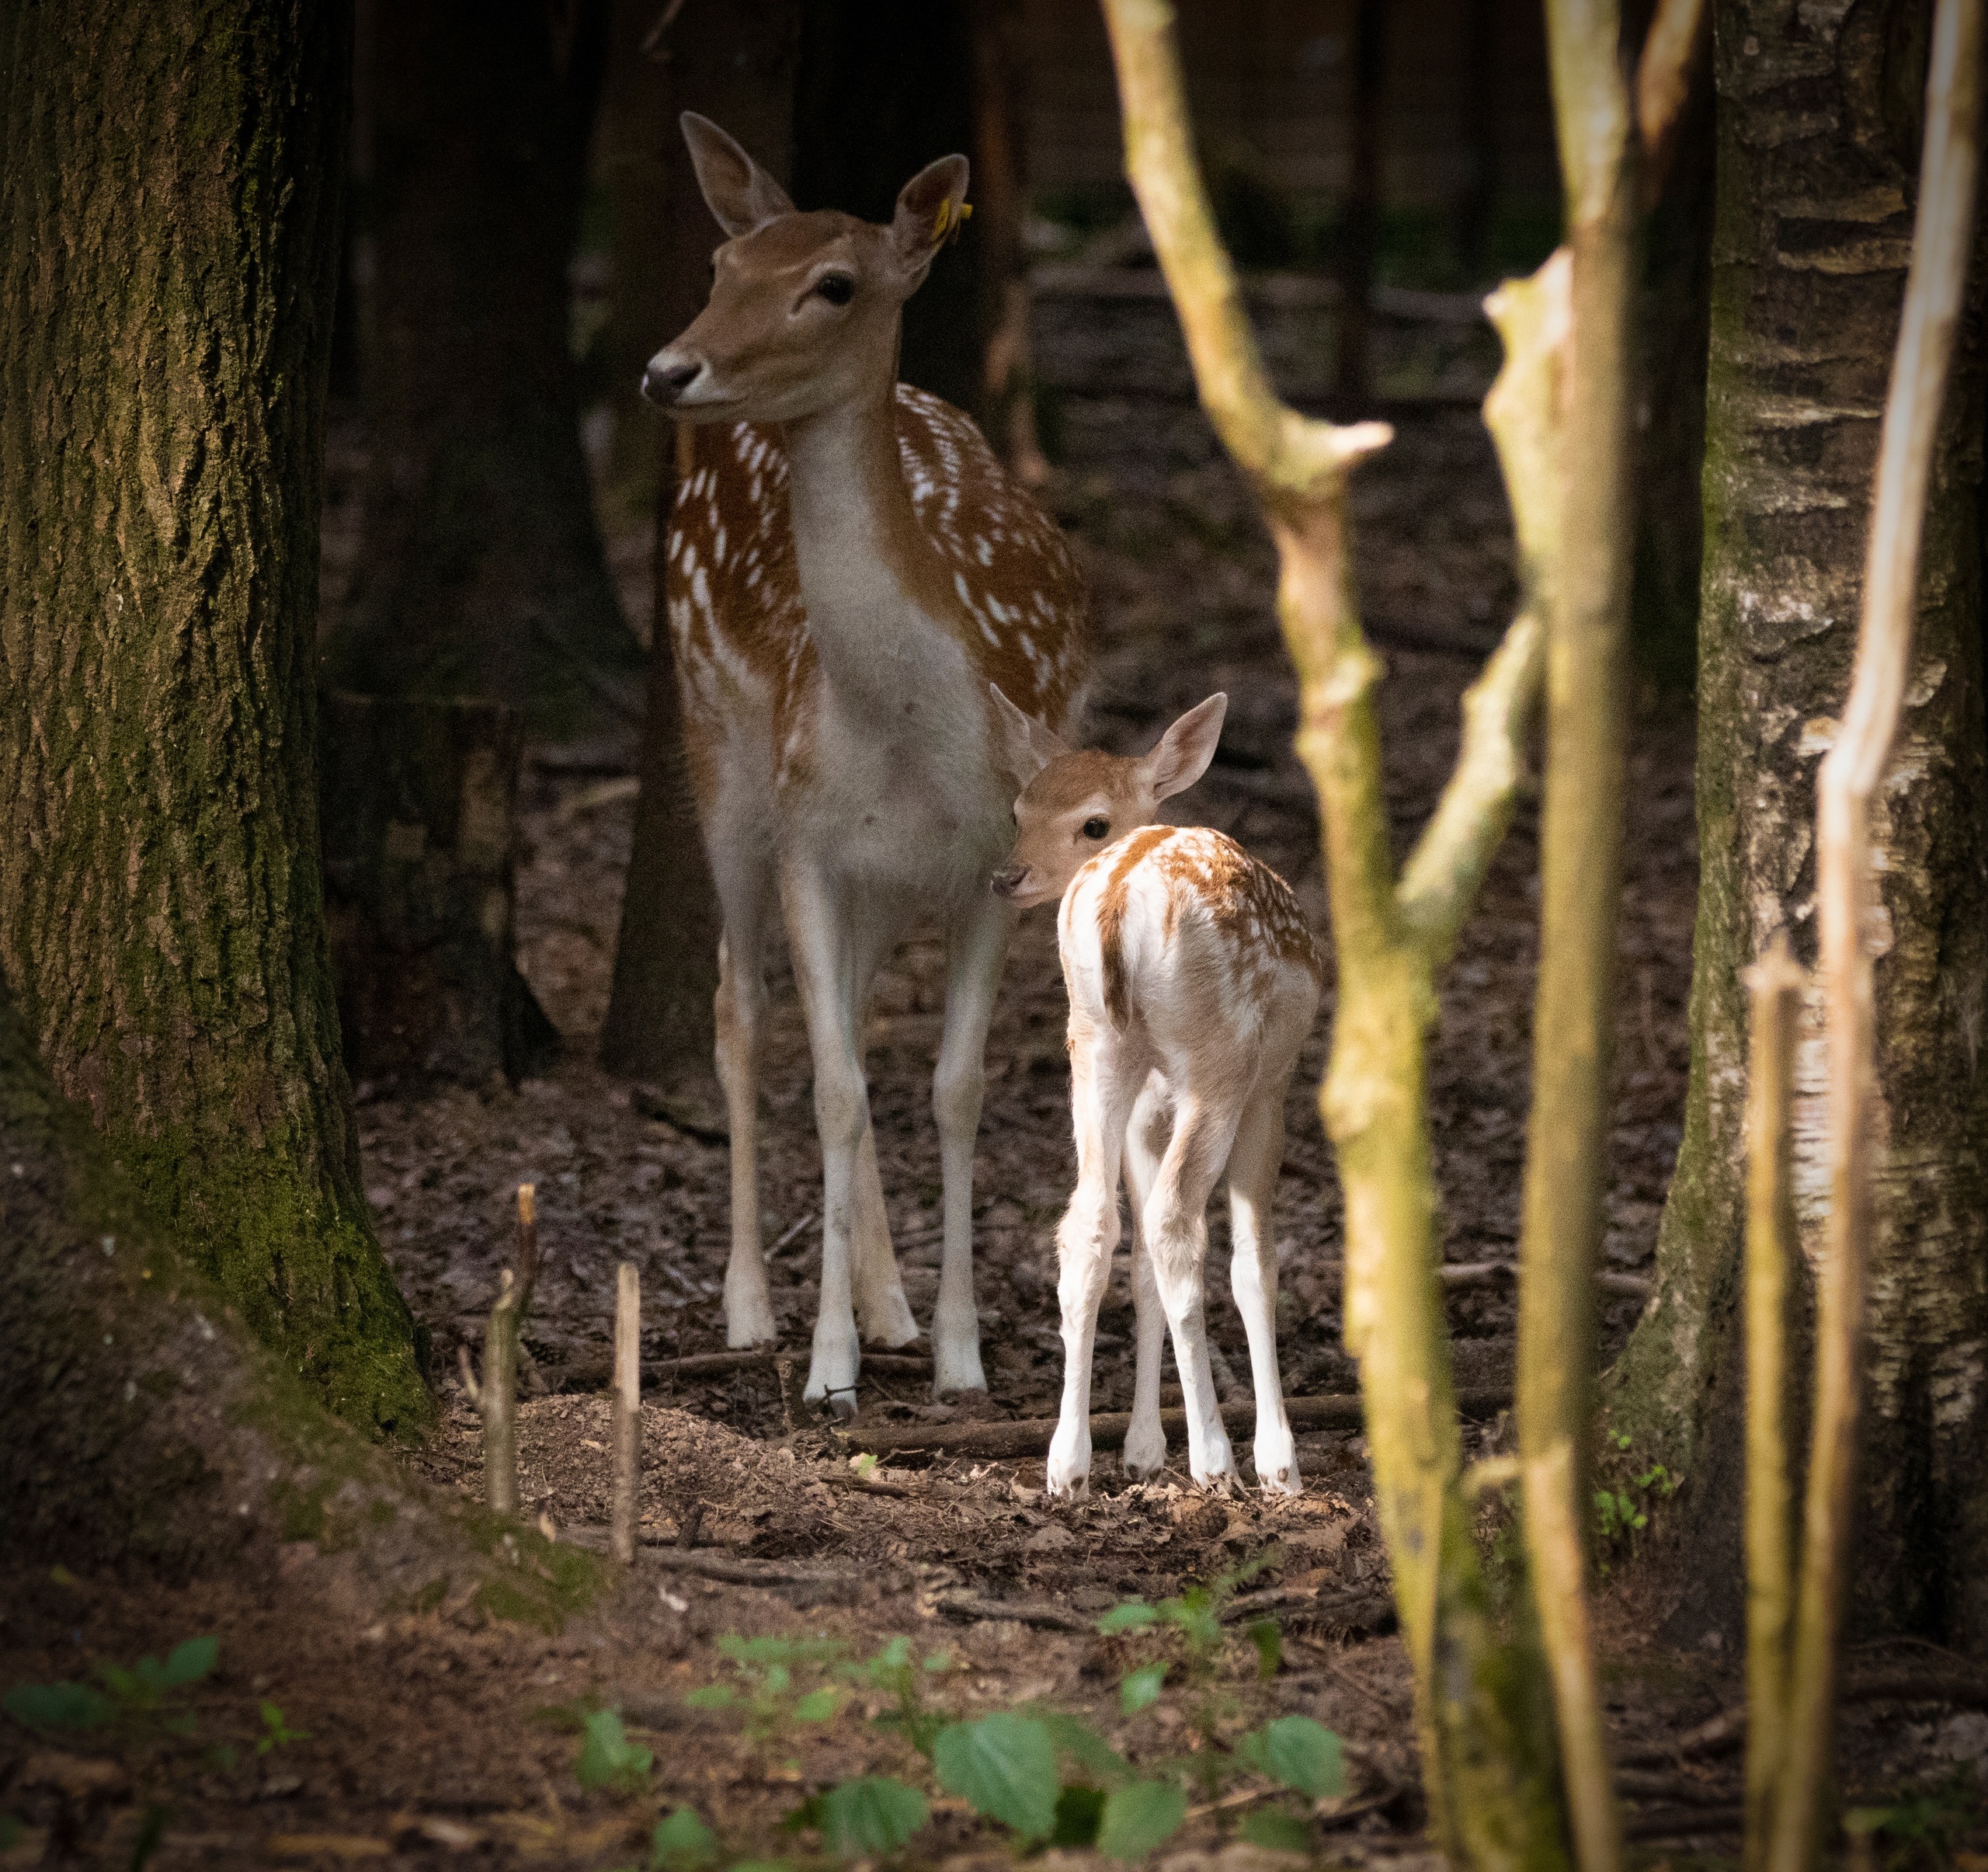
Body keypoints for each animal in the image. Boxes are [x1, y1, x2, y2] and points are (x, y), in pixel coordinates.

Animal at [644, 109, 1089, 1408]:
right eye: (722, 266)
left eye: (832, 284)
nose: (669, 369)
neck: (907, 731)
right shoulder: (807, 838)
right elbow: (835, 1083)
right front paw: (828, 1362)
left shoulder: (991, 859)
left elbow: (951, 1084)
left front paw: (958, 1353)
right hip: (720, 756)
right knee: (743, 1007)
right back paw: (752, 1306)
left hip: (875, 878)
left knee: (845, 1008)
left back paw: (889, 1302)